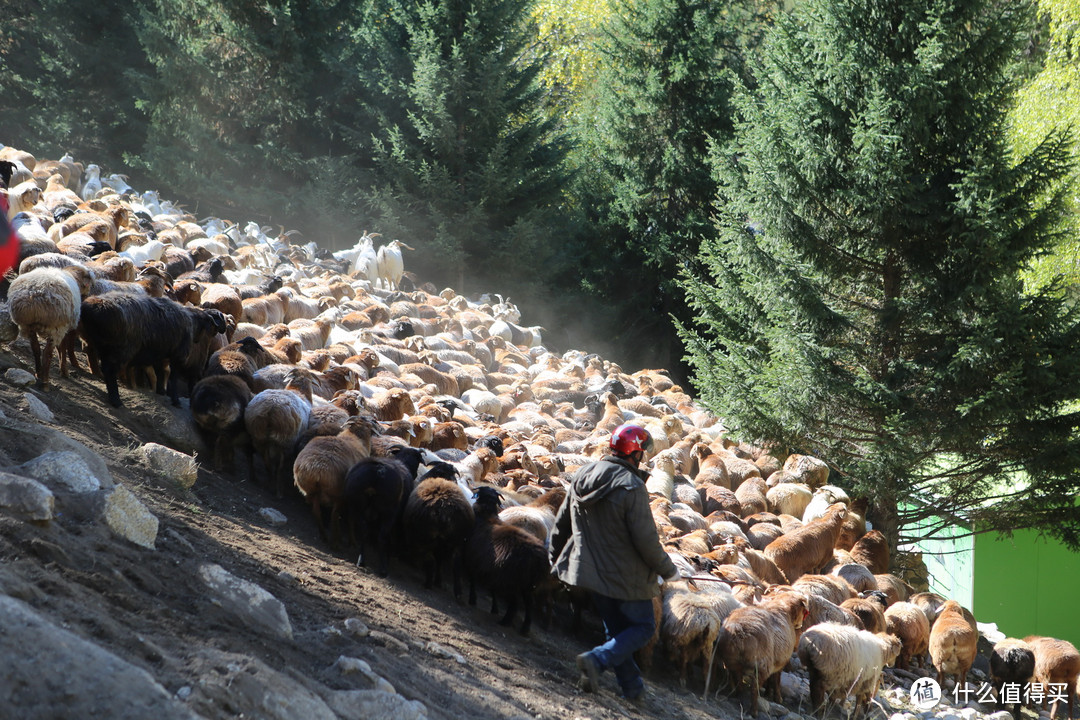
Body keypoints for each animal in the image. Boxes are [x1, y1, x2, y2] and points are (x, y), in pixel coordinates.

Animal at [293, 416, 378, 546]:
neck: (355, 437)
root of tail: (318, 470)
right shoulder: (353, 496)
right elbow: (351, 518)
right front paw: (353, 541)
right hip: (338, 493)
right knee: (334, 515)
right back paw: (336, 542)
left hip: (311, 491)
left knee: (317, 512)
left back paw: (324, 536)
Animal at [347, 446, 427, 578]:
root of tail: (378, 472)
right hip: (388, 511)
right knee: (382, 536)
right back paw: (383, 569)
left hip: (357, 505)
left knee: (363, 531)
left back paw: (361, 561)